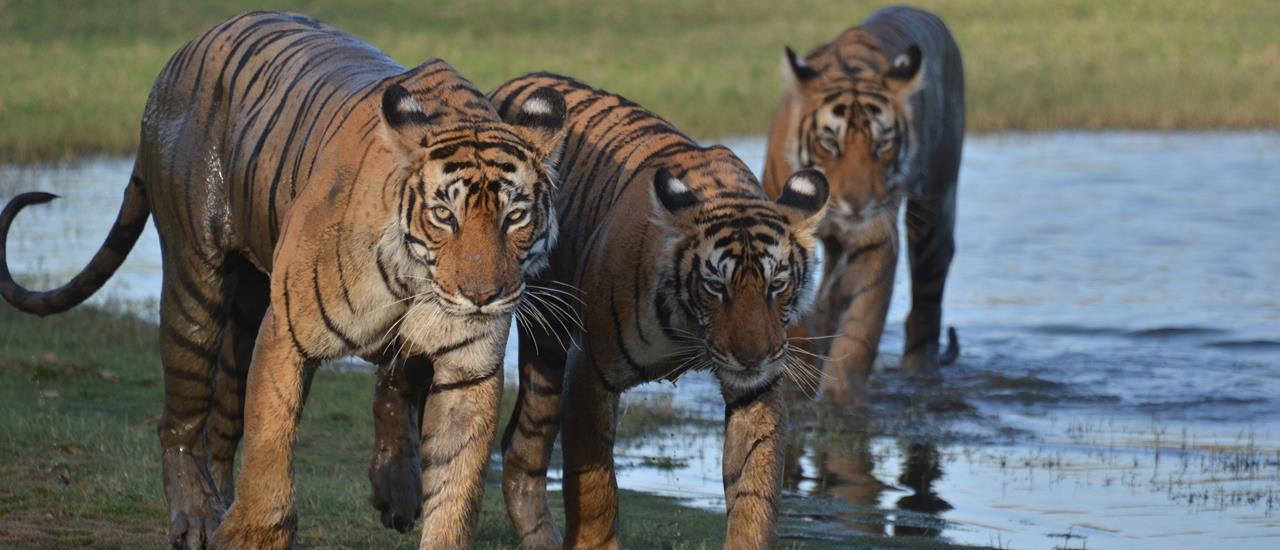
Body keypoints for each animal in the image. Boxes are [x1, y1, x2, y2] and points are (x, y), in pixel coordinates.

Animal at [0, 11, 566, 549]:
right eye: (444, 216)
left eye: (515, 217)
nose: (482, 296)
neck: (416, 283)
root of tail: (179, 56)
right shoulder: (289, 332)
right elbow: (271, 442)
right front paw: (250, 534)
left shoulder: (470, 369)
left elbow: (457, 482)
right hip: (194, 286)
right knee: (182, 418)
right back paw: (198, 517)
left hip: (247, 308)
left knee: (228, 421)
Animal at [483, 73, 828, 549]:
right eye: (715, 287)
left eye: (777, 285)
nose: (753, 357)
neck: (689, 330)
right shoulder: (591, 369)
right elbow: (594, 485)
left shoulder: (758, 389)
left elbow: (755, 487)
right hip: (547, 338)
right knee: (523, 446)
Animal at [762, 5, 964, 407]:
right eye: (829, 143)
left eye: (882, 144)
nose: (858, 204)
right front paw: (802, 375)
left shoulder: (872, 239)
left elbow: (860, 327)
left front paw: (840, 400)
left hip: (934, 212)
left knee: (926, 306)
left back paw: (921, 374)